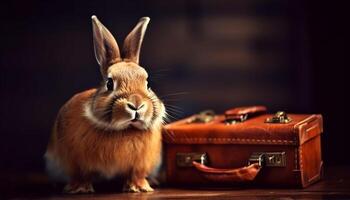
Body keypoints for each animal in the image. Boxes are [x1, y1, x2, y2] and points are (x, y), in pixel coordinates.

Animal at [44, 15, 166, 194]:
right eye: (109, 83)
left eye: (148, 83)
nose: (136, 104)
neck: (123, 130)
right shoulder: (75, 162)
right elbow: (80, 174)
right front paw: (80, 189)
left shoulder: (140, 164)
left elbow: (136, 174)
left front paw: (140, 188)